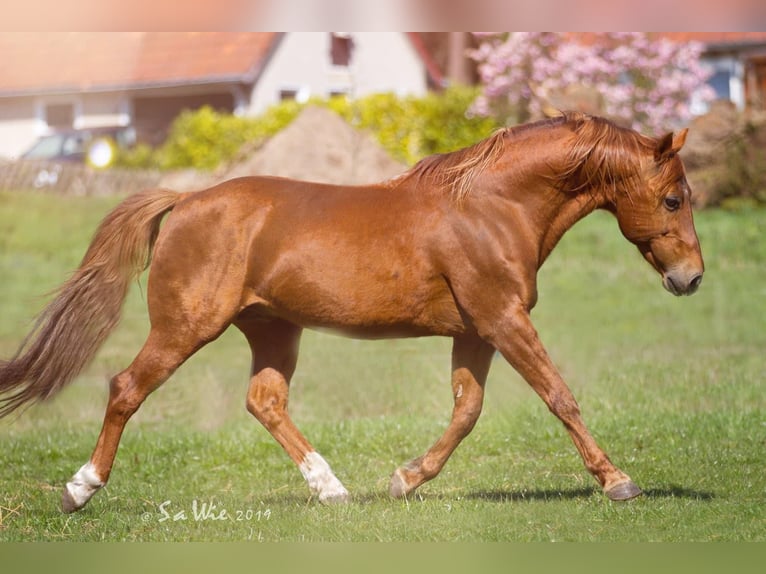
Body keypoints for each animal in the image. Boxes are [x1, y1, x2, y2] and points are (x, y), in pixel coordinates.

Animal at [0, 111, 704, 512]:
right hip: (186, 327)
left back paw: (332, 489)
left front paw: (405, 480)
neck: (491, 206)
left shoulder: (479, 330)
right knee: (126, 388)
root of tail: (187, 200)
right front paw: (618, 481)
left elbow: (467, 410)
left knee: (265, 402)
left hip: (273, 330)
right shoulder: (504, 320)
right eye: (673, 199)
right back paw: (79, 489)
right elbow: (560, 396)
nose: (691, 278)